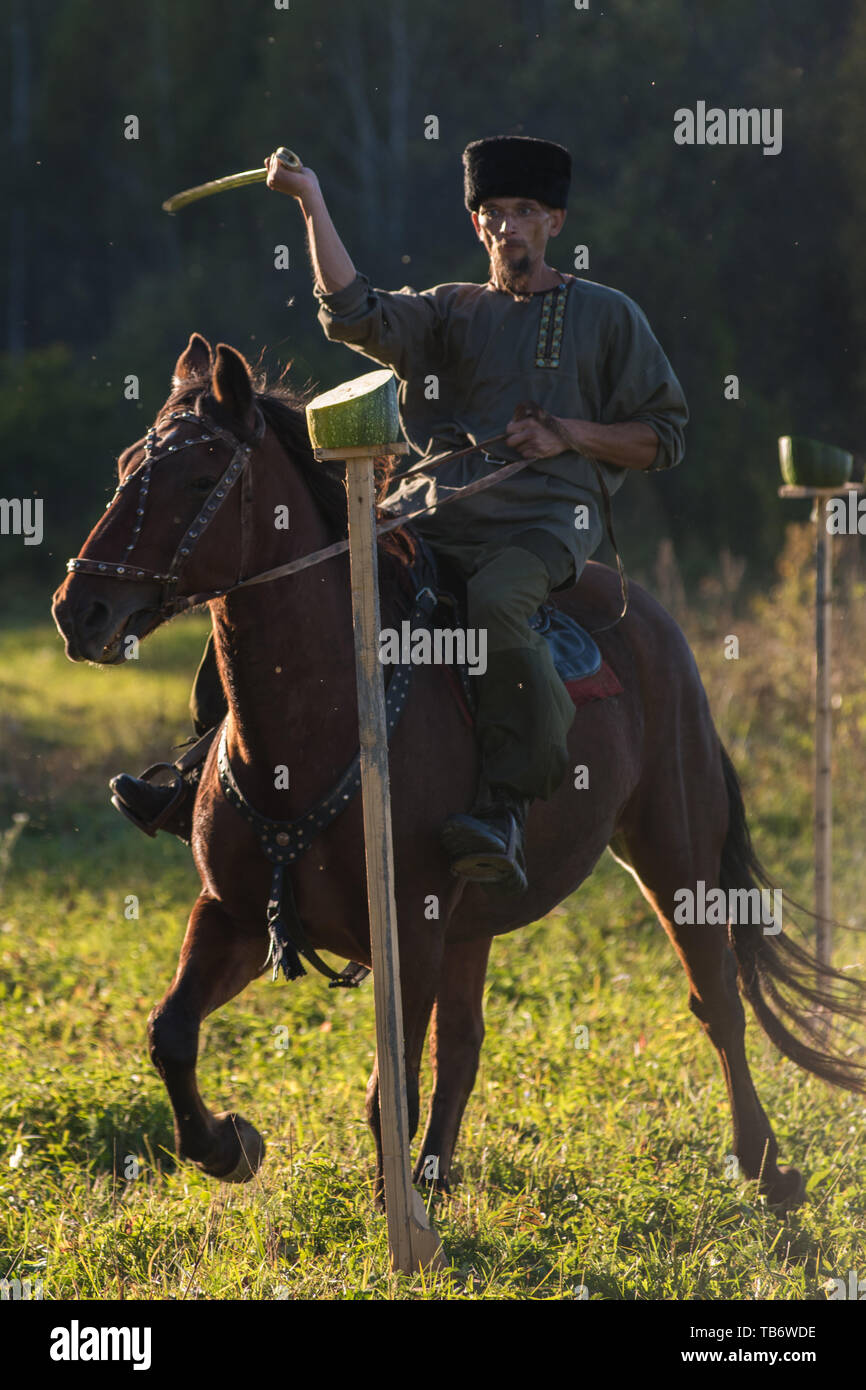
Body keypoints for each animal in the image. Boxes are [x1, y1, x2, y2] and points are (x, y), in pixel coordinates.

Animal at [52, 333, 866, 1206]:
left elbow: (389, 1094)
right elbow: (170, 1033)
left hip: (674, 855)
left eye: (201, 477)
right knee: (466, 1044)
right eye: (129, 464)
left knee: (717, 999)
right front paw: (229, 1145)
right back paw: (438, 1181)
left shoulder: (411, 931)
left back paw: (766, 1167)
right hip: (475, 925)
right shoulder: (233, 913)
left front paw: (393, 1213)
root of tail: (651, 619)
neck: (311, 738)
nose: (80, 610)